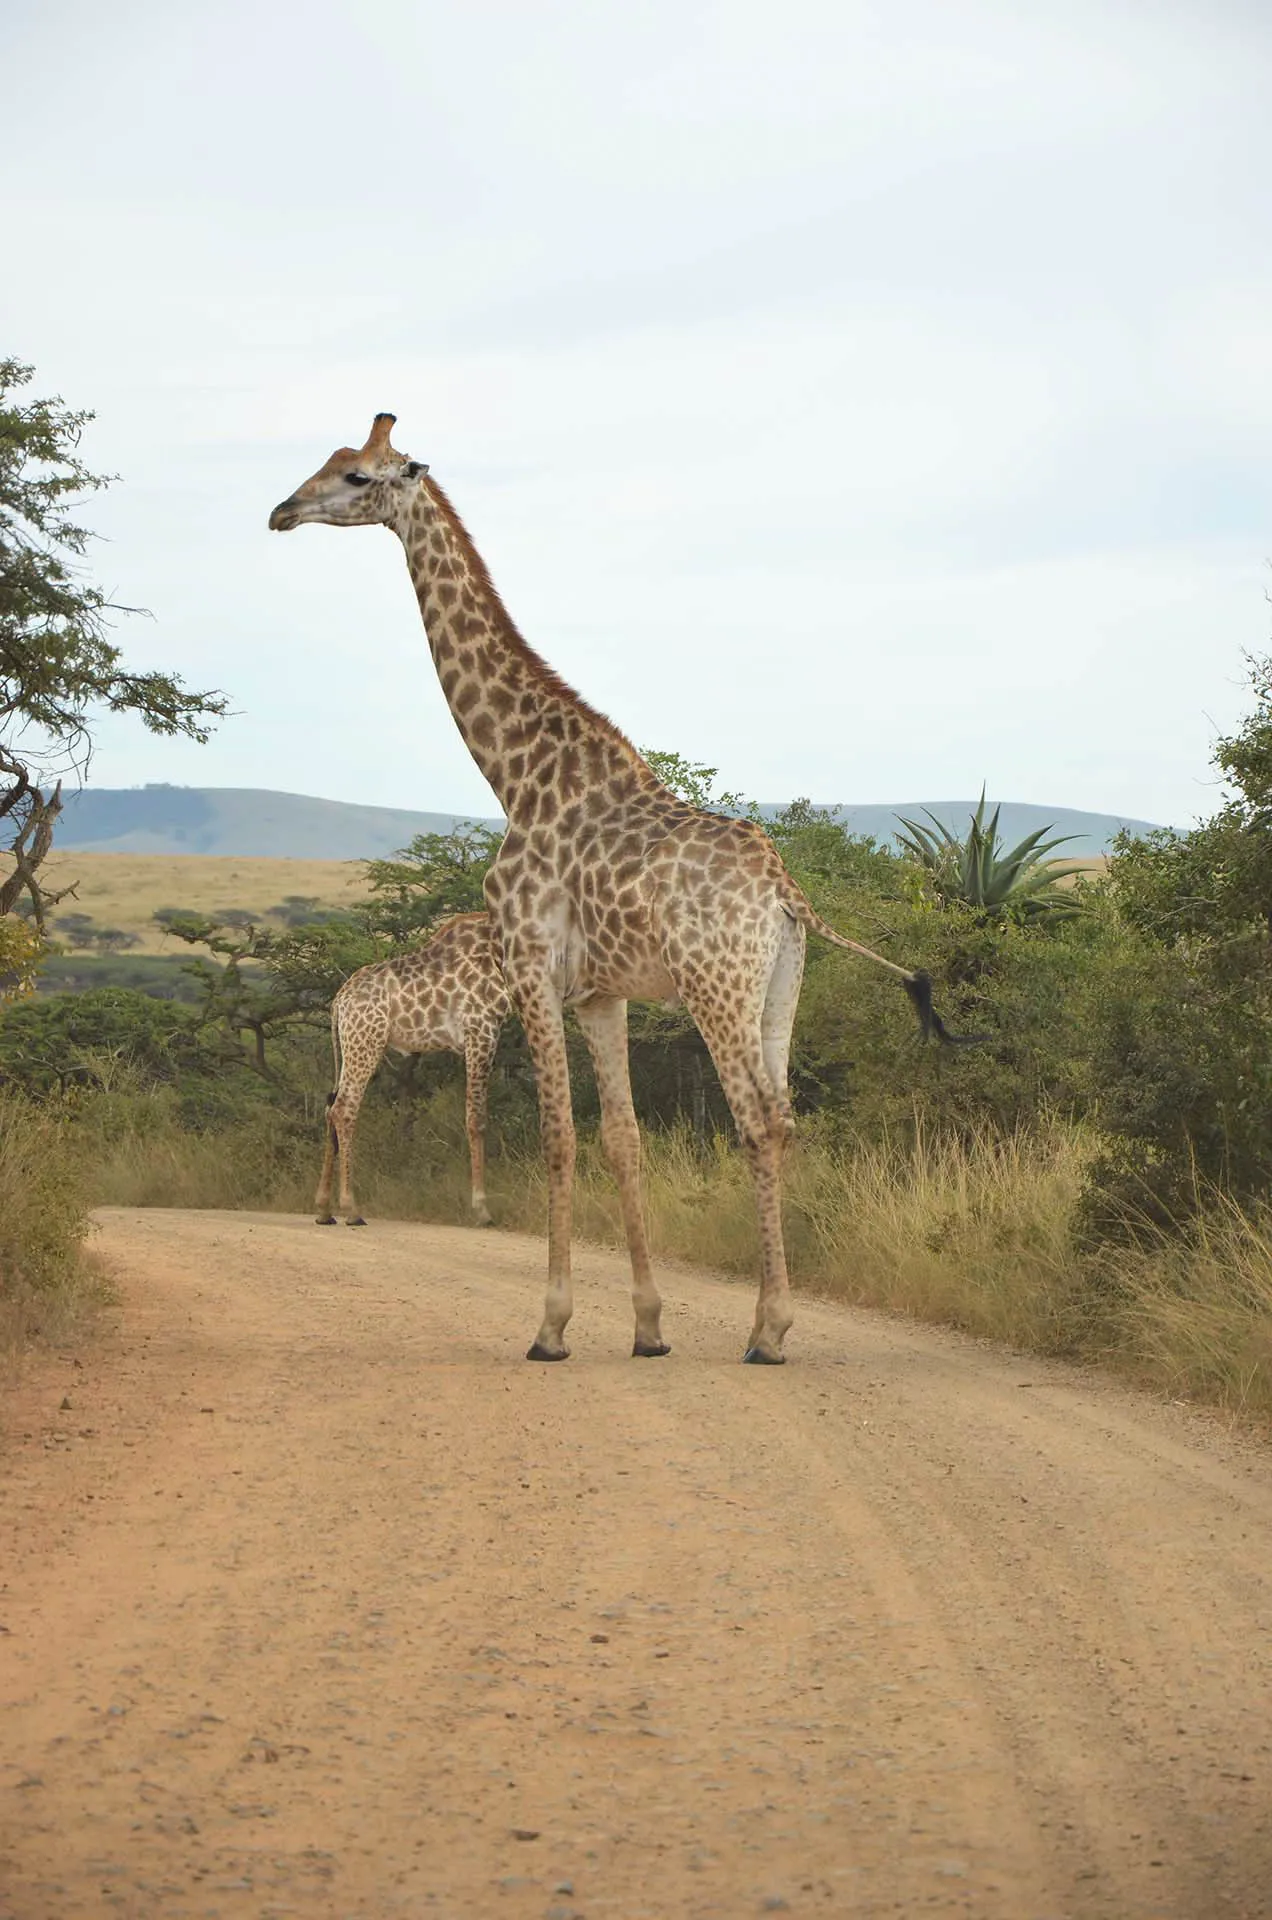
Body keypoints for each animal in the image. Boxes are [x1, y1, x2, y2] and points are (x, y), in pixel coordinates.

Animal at [316, 911, 510, 1229]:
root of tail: (338, 1003)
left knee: (330, 1107)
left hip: (349, 1046)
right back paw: (351, 1209)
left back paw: (323, 1210)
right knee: (344, 1109)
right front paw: (482, 1210)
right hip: (366, 1042)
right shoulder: (482, 1028)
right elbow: (477, 1118)